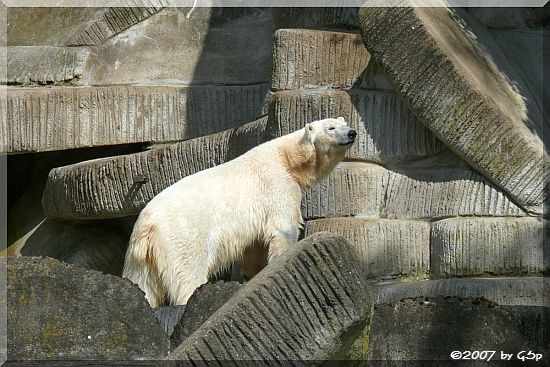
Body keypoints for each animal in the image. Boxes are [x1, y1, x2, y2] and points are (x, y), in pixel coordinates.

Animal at [122, 118, 358, 308]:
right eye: (331, 127)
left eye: (344, 122)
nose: (352, 133)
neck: (289, 159)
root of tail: (146, 223)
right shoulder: (277, 185)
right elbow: (283, 228)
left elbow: (256, 246)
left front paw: (253, 273)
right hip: (182, 237)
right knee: (187, 274)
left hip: (141, 255)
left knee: (142, 282)